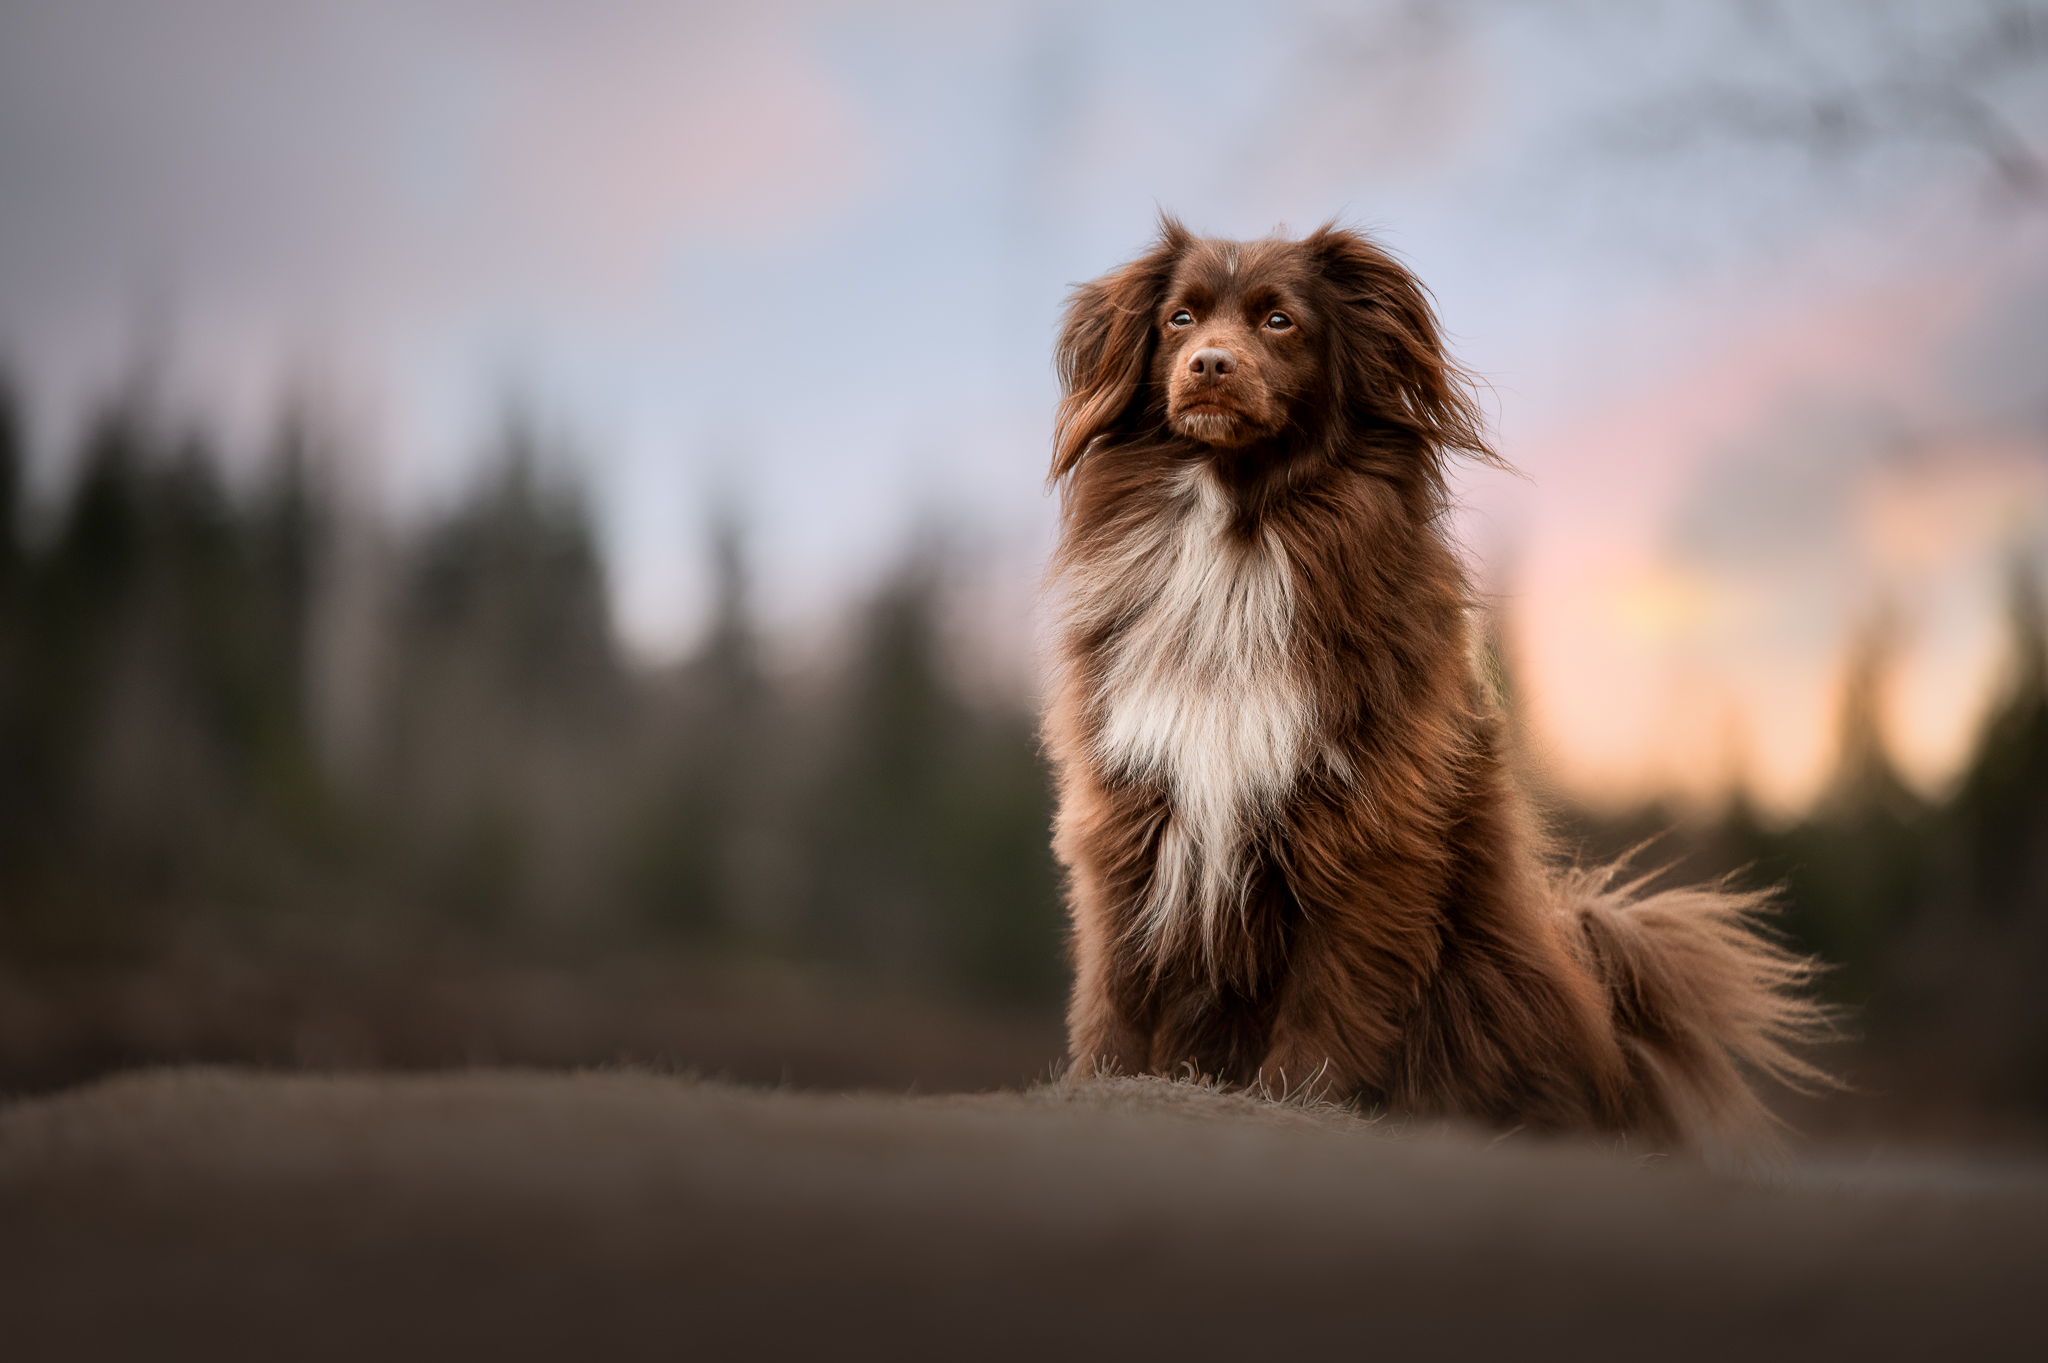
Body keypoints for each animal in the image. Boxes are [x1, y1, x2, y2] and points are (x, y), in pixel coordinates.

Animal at [1048, 220, 1835, 1146]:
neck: (1243, 536)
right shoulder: (1131, 800)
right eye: (1179, 318)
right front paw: (1103, 1079)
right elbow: (1118, 979)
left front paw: (1297, 1097)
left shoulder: (1366, 825)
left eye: (1279, 321)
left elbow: (1331, 991)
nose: (1209, 363)